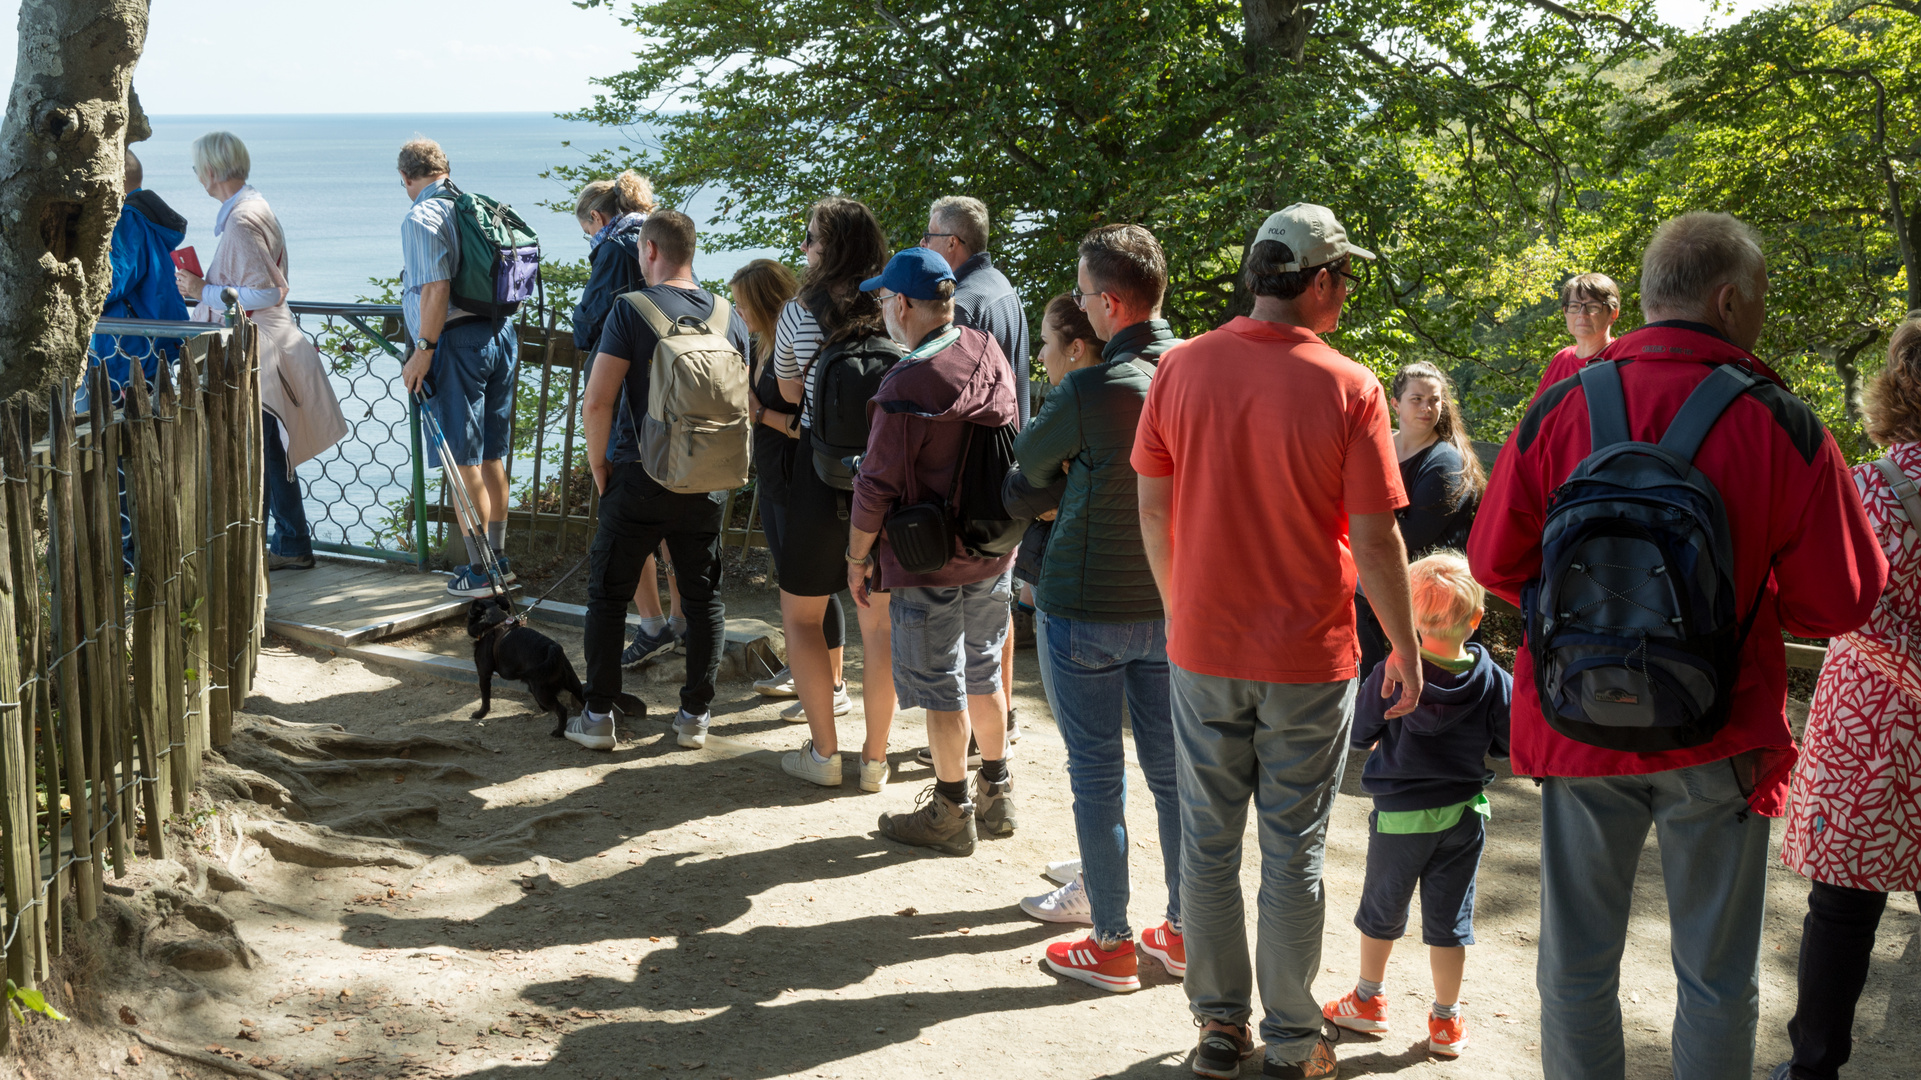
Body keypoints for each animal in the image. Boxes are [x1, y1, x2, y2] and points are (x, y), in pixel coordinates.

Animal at [468, 591, 649, 734]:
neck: (494, 623)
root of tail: (552, 647)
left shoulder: (483, 674)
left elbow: (485, 697)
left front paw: (480, 714)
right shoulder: (530, 682)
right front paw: (542, 710)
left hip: (542, 689)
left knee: (561, 710)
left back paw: (558, 732)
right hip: (570, 683)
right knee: (583, 701)